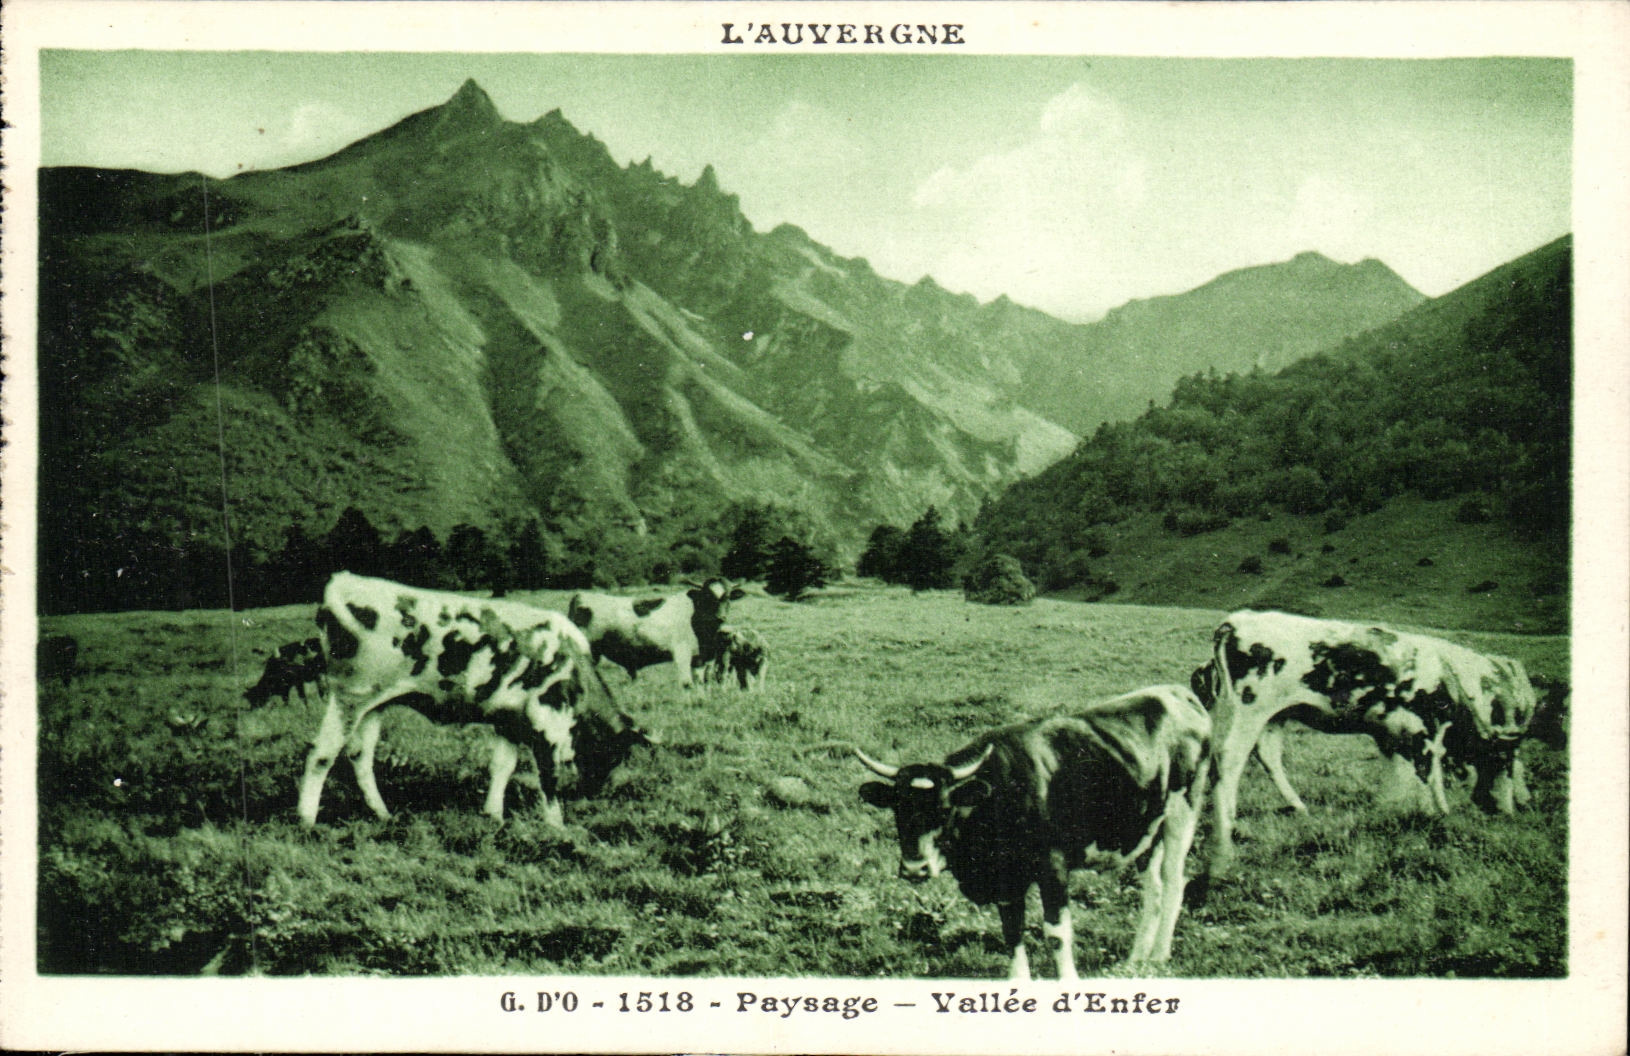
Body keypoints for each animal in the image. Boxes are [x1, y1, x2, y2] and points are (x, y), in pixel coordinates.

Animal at [297, 572, 656, 828]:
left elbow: (503, 766)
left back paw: (383, 814)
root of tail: (344, 581)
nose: (594, 792)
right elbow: (548, 775)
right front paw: (557, 827)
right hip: (350, 696)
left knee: (360, 756)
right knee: (322, 754)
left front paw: (494, 815)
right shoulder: (546, 719)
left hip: (374, 704)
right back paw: (307, 821)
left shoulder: (509, 719)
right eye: (613, 752)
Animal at [567, 578, 745, 688]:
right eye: (708, 596)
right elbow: (686, 682)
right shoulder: (682, 653)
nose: (720, 617)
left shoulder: (699, 659)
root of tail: (580, 595)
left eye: (728, 597)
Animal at [855, 685, 1211, 980]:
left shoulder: (1053, 867)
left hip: (1182, 814)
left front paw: (1069, 982)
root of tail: (1179, 693)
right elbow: (1012, 929)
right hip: (1146, 830)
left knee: (1174, 882)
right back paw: (1136, 958)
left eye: (945, 809)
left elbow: (1056, 933)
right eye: (897, 810)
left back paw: (1159, 955)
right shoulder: (1006, 880)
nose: (916, 868)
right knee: (1153, 889)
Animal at [1196, 609, 1543, 876]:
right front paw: (1437, 812)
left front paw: (1389, 807)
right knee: (1228, 760)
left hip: (1275, 717)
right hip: (1247, 709)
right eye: (1502, 759)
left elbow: (1400, 773)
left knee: (1268, 757)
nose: (1509, 809)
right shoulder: (1424, 728)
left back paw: (1298, 806)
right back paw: (1226, 829)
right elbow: (1428, 770)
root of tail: (1236, 621)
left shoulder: (1392, 733)